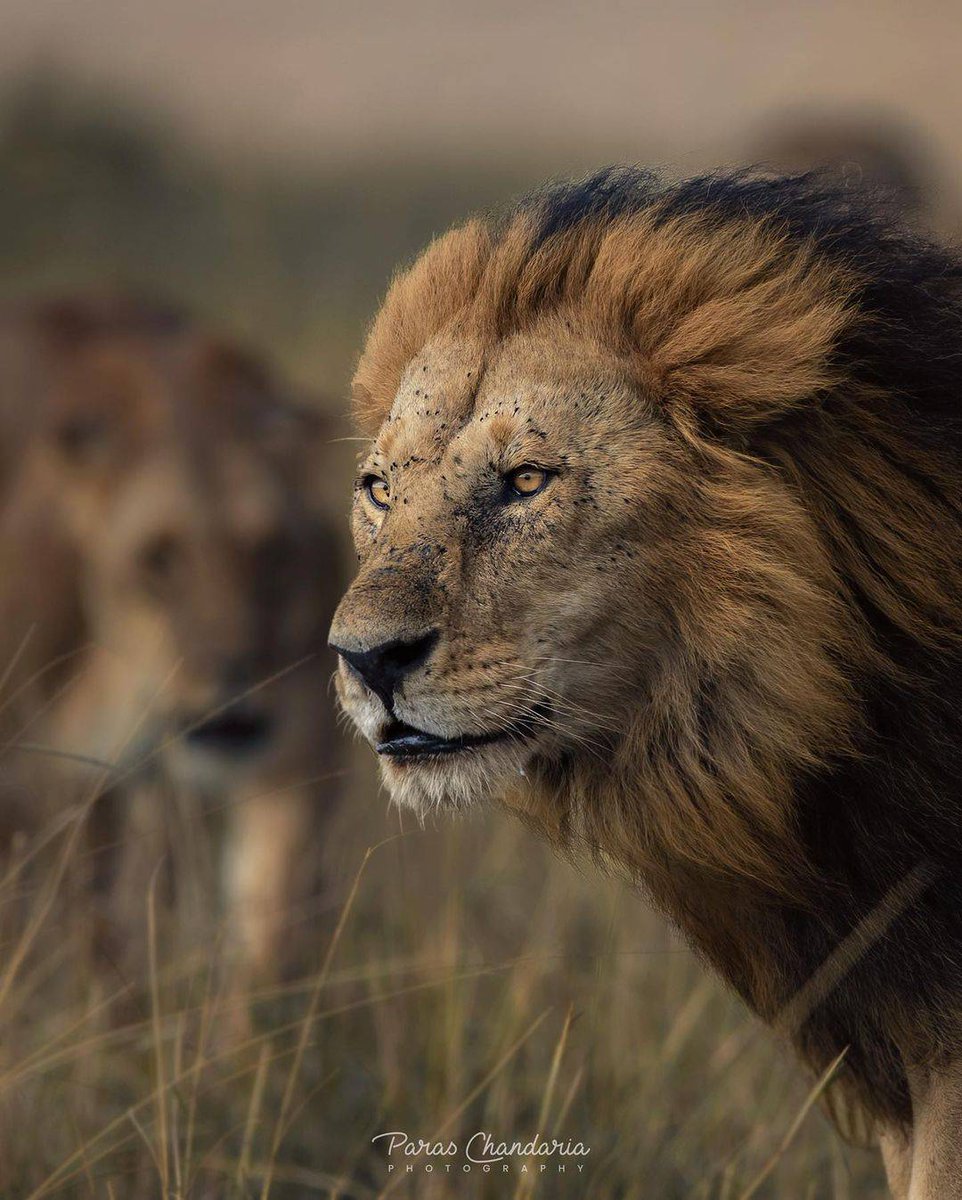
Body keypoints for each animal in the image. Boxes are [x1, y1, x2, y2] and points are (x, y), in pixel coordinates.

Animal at [0, 296, 344, 986]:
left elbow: (269, 923)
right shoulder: (56, 776)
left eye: (269, 550)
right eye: (159, 557)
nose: (234, 669)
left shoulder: (297, 748)